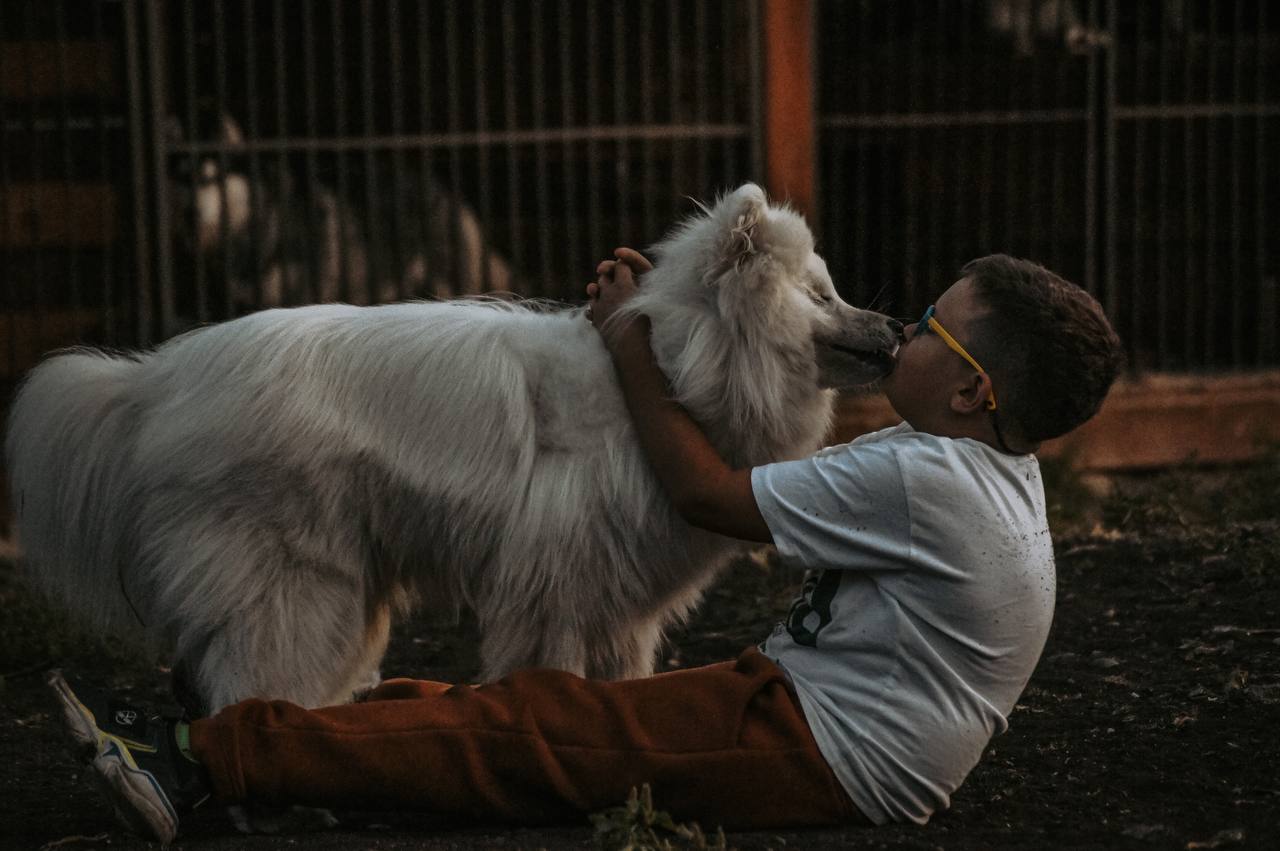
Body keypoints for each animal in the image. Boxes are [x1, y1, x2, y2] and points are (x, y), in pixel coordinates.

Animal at [5, 182, 896, 711]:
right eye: (822, 294)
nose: (893, 324)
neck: (671, 373)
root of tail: (157, 378)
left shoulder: (615, 593)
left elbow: (620, 673)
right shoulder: (557, 581)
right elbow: (556, 665)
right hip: (293, 584)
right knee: (250, 676)